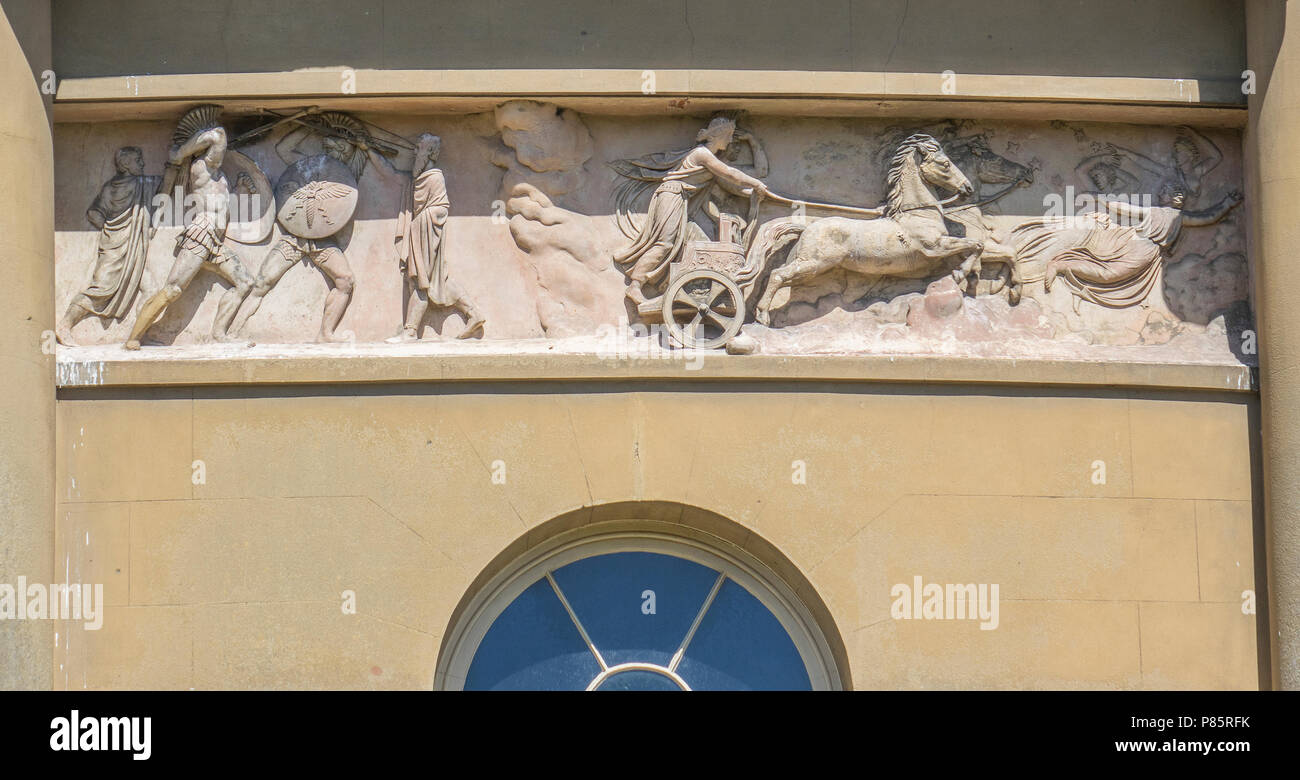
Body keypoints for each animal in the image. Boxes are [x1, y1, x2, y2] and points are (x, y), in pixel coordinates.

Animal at [759, 133, 977, 326]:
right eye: (946, 164)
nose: (968, 188)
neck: (919, 214)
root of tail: (807, 227)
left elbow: (972, 247)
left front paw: (971, 277)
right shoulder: (937, 246)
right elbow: (974, 244)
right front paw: (960, 273)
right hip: (814, 263)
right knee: (777, 275)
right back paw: (762, 316)